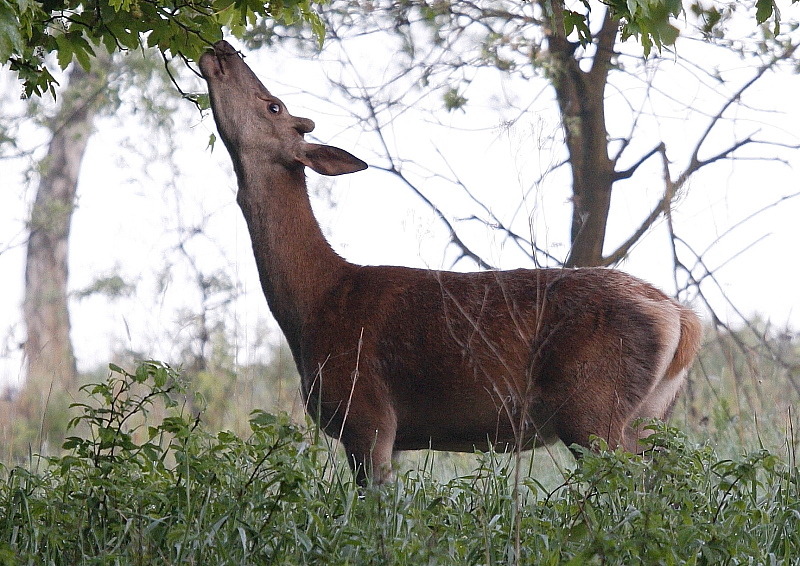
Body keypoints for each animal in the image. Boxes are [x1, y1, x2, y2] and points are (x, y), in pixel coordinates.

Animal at [198, 42, 700, 488]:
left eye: (274, 106)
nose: (221, 48)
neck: (312, 305)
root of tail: (683, 318)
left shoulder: (366, 414)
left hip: (593, 404)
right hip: (651, 411)